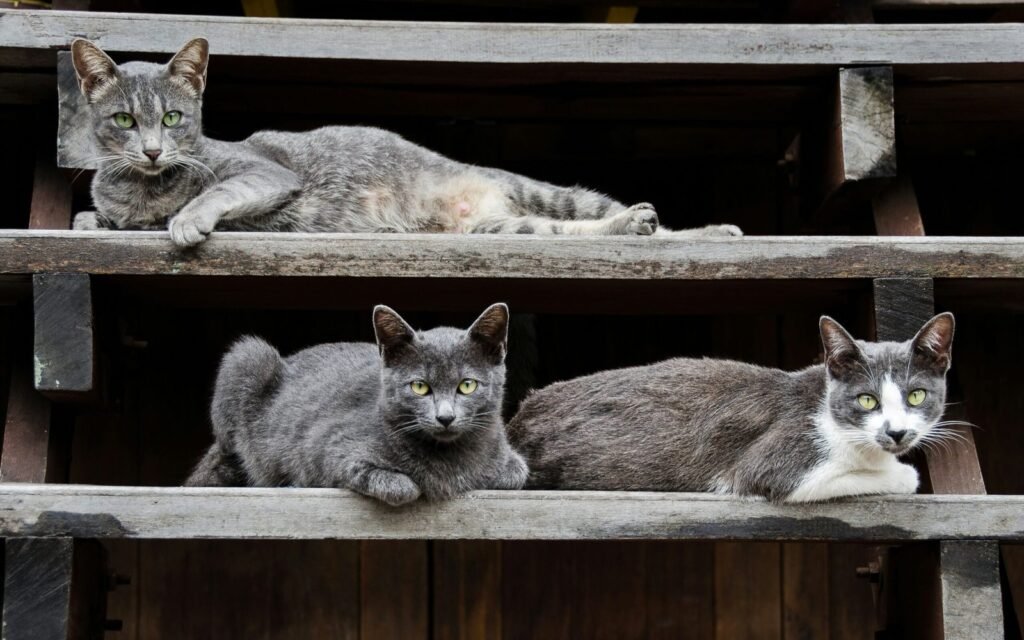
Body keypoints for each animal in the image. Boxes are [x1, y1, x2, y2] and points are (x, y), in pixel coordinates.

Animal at [183, 301, 528, 505]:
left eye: (467, 385)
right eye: (420, 387)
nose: (445, 417)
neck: (450, 457)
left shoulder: (510, 457)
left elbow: (515, 472)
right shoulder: (329, 449)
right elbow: (401, 486)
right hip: (247, 356)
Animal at [507, 311, 954, 501]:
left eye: (916, 395)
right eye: (867, 399)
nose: (896, 432)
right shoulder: (778, 462)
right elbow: (888, 477)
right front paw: (902, 474)